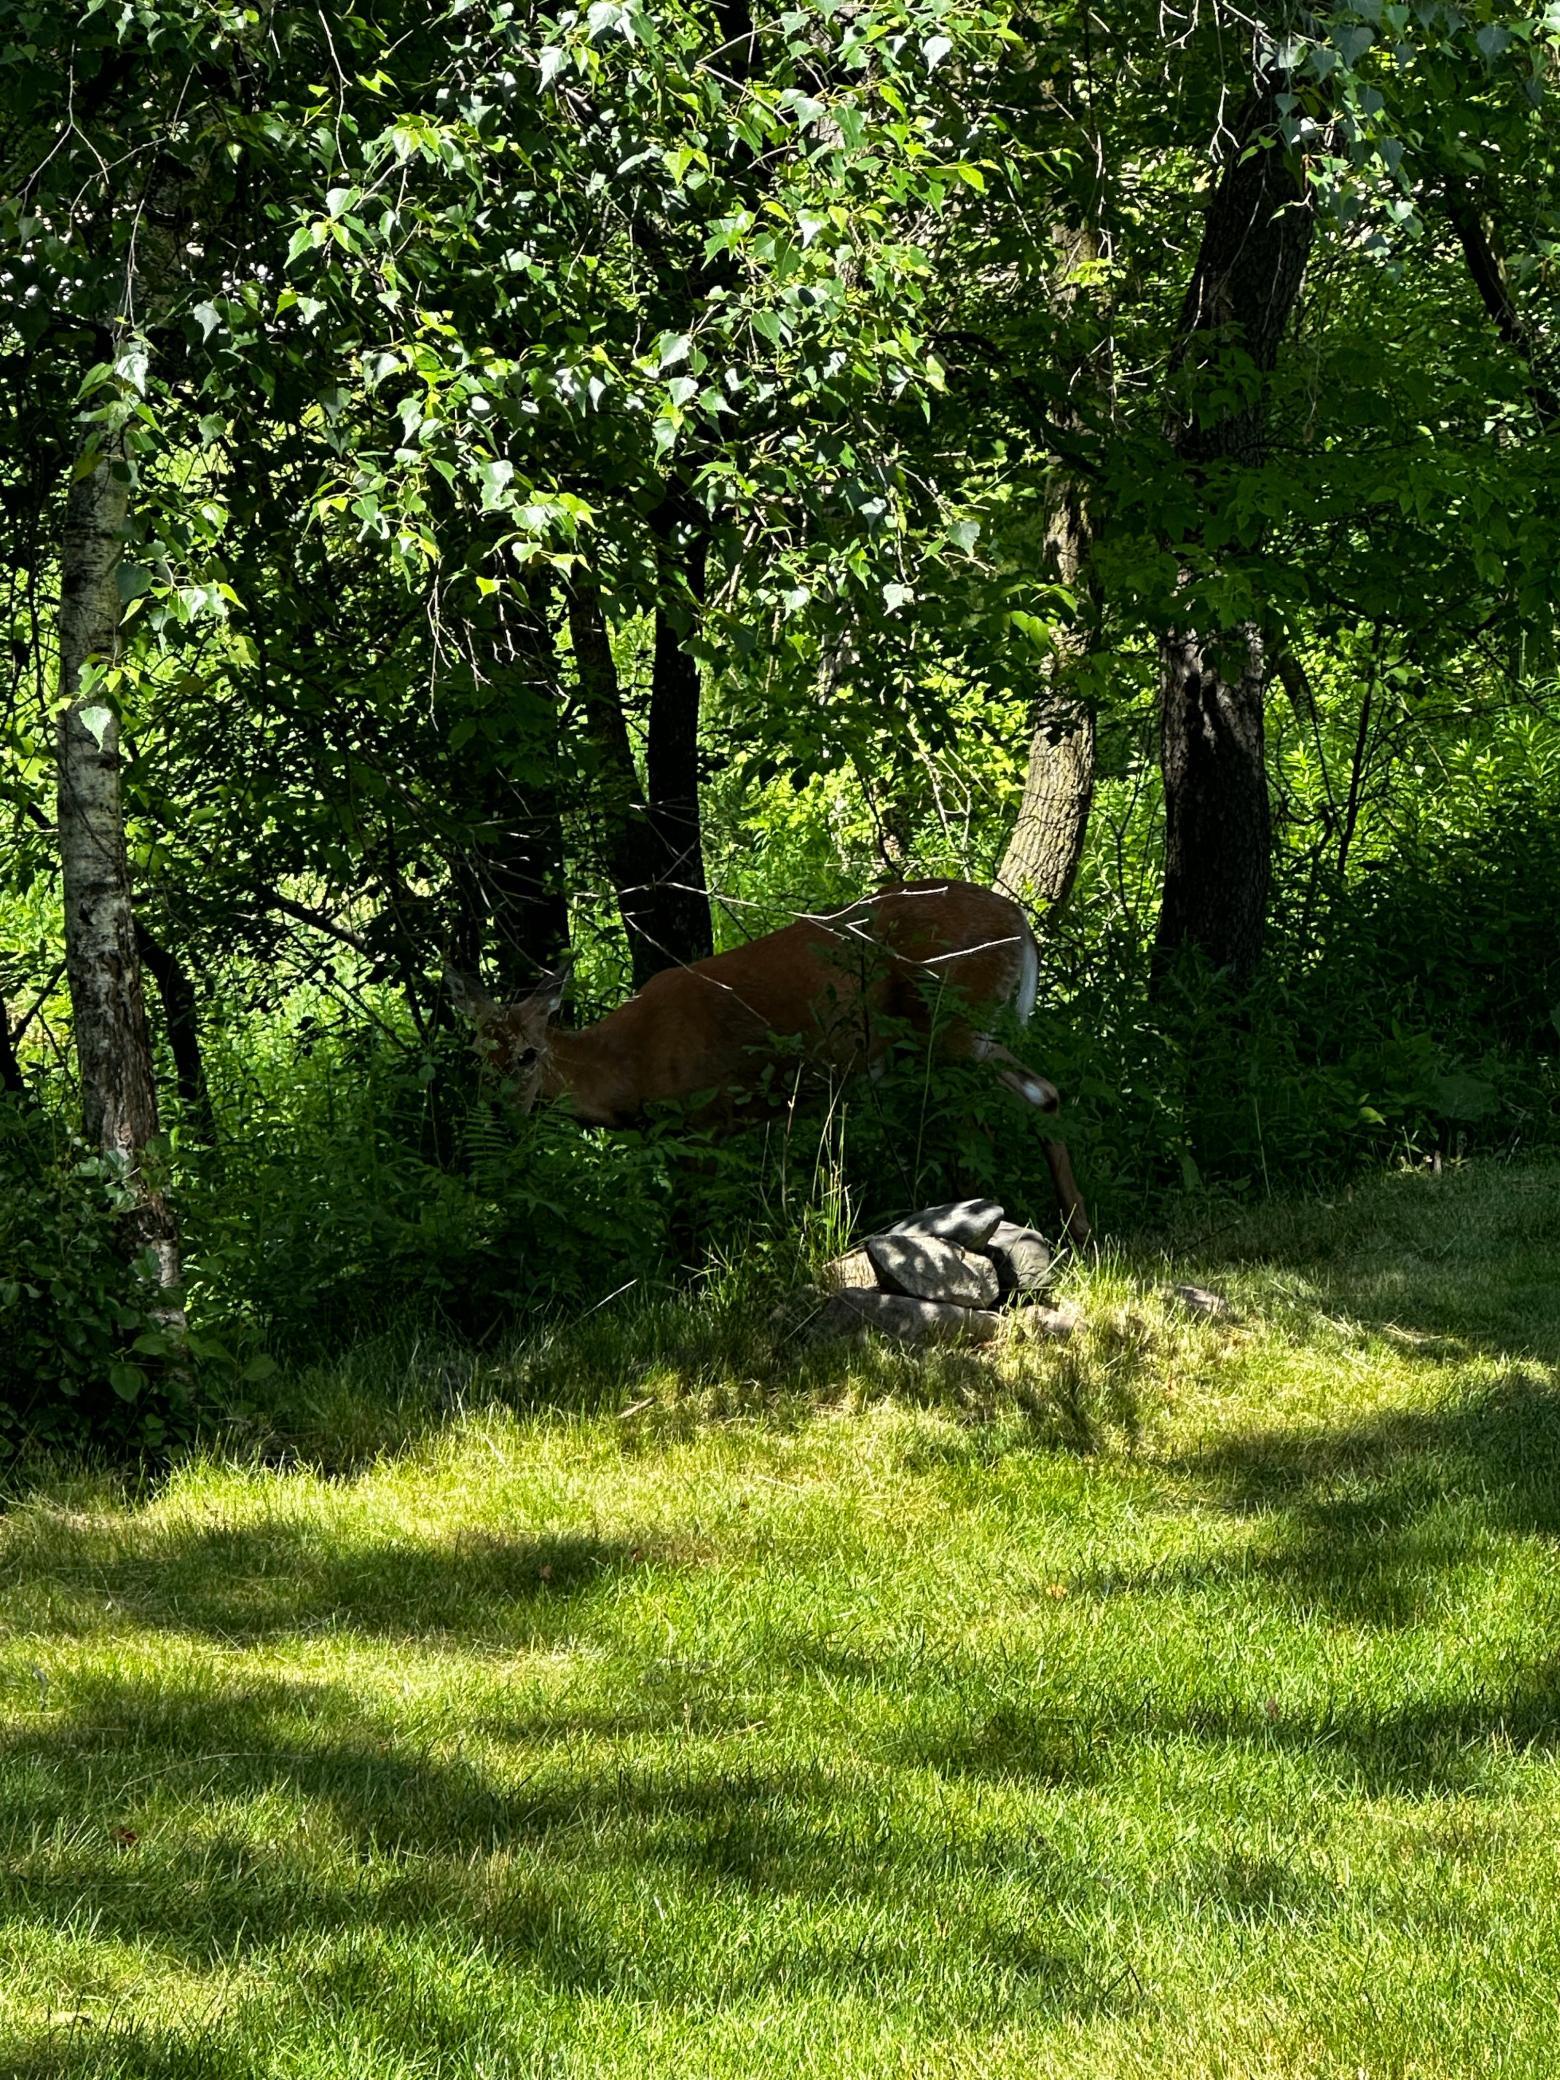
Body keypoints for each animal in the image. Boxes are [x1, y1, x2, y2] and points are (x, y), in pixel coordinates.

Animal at [447, 878, 1090, 1245]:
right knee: (1030, 1100)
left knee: (1005, 1110)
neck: (630, 1066)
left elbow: (687, 1224)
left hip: (953, 1022)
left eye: (529, 1055)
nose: (499, 1114)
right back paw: (1072, 1227)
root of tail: (1020, 922)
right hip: (964, 1033)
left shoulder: (698, 1121)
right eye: (475, 1054)